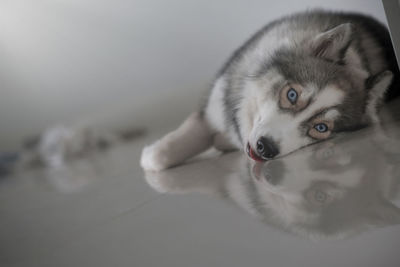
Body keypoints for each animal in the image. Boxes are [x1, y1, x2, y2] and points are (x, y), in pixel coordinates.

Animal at [139, 9, 398, 172]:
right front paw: (152, 156)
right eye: (292, 95)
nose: (266, 148)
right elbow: (186, 136)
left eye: (321, 128)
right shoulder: (217, 102)